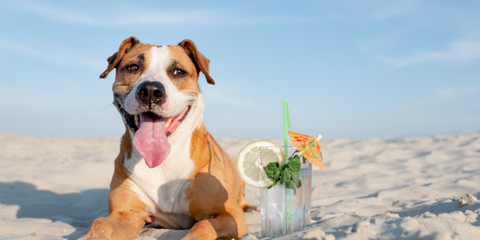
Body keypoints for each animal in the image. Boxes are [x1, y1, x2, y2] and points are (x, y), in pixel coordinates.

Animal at [79, 37, 249, 240]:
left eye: (178, 72)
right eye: (133, 67)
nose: (150, 91)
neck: (165, 159)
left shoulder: (230, 214)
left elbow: (203, 225)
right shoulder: (125, 213)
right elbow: (101, 223)